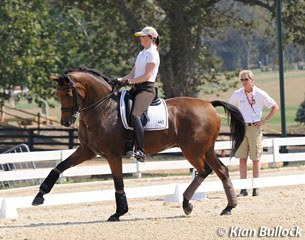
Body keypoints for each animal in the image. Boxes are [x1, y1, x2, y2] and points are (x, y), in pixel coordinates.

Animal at [32, 67, 243, 221]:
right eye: (57, 95)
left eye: (69, 94)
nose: (66, 122)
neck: (102, 109)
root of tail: (209, 105)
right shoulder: (87, 150)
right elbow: (59, 166)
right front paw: (39, 195)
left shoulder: (113, 155)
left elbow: (118, 182)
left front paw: (119, 213)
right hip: (207, 150)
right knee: (221, 171)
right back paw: (228, 207)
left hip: (193, 151)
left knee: (205, 170)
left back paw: (187, 203)